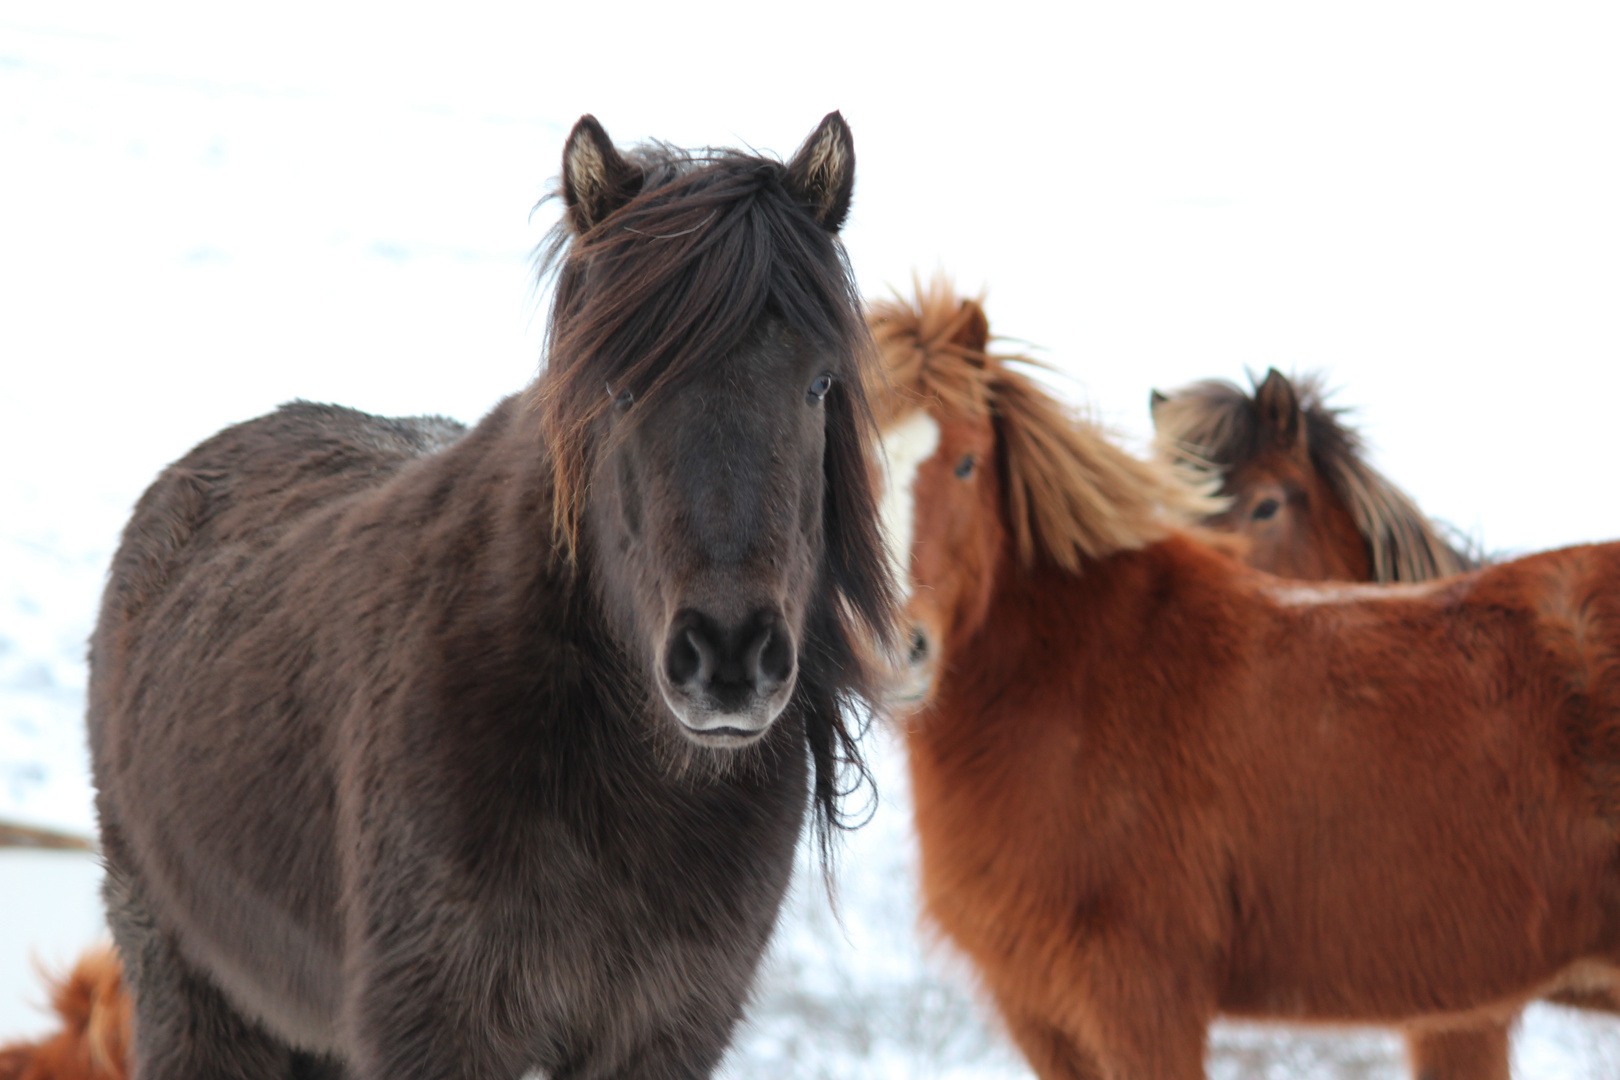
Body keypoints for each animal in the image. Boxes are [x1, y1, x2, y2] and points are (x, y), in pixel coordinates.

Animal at [87, 116, 894, 1080]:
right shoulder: (441, 1031)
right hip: (191, 988)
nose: (729, 658)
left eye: (818, 384)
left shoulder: (662, 1034)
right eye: (620, 386)